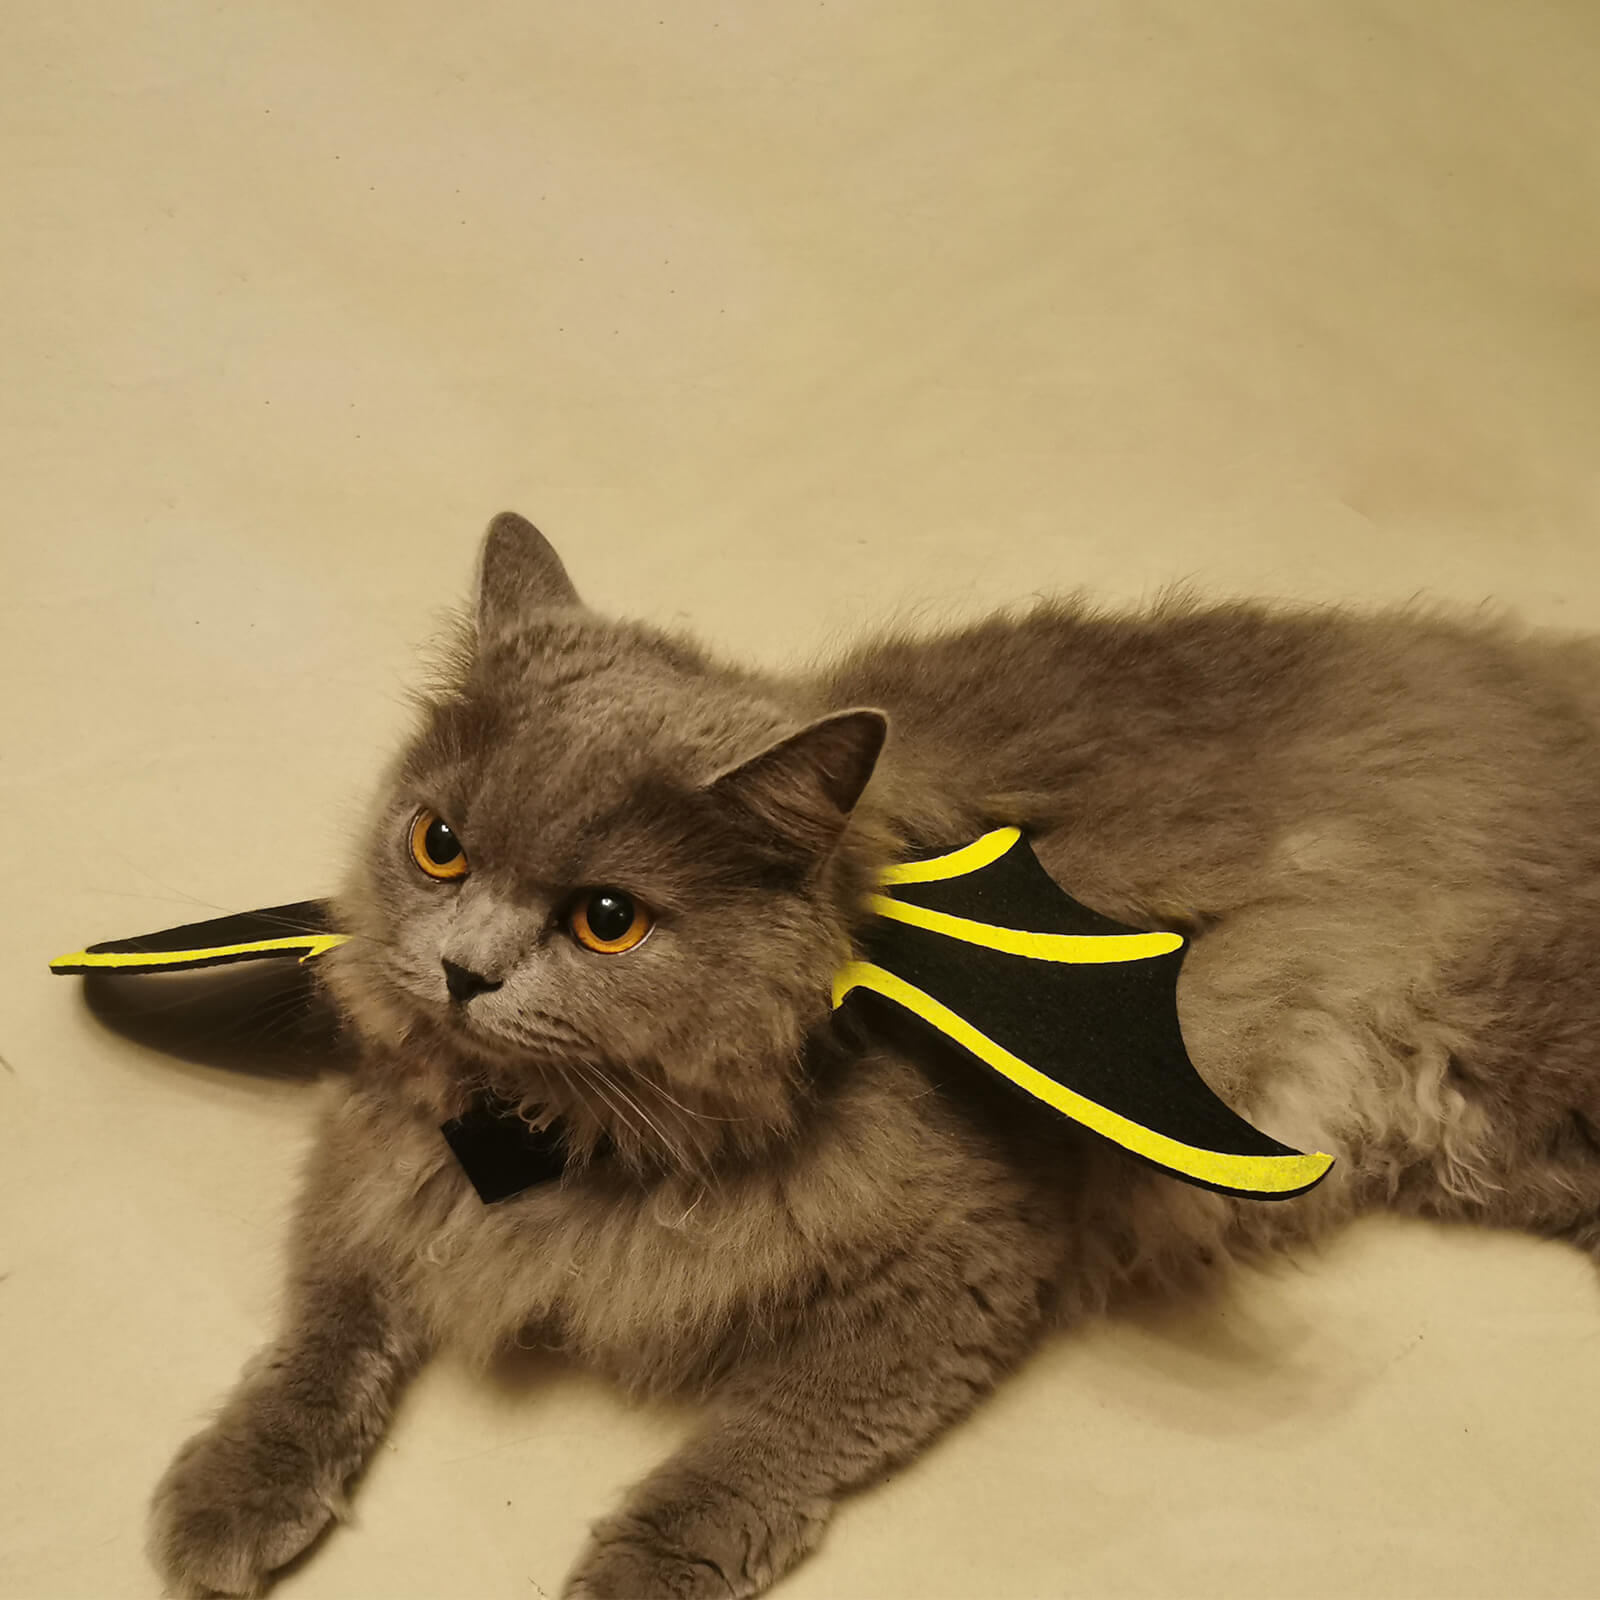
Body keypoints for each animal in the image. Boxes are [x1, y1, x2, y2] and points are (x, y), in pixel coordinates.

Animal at [148, 512, 1600, 1598]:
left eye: (607, 919)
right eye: (438, 844)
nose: (462, 970)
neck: (557, 1135)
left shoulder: (965, 1267)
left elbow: (766, 1435)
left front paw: (648, 1564)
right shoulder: (378, 1153)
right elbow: (326, 1324)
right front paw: (234, 1485)